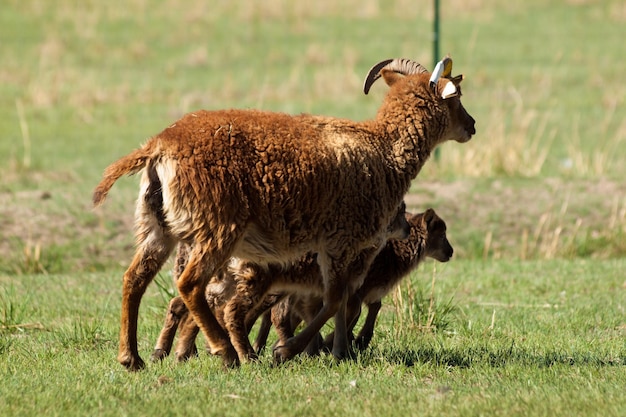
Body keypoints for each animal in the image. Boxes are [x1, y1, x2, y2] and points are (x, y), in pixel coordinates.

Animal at [91, 56, 472, 370]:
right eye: (455, 98)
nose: (472, 125)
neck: (383, 151)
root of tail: (158, 147)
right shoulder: (341, 242)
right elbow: (334, 301)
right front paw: (289, 351)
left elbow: (340, 302)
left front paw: (338, 351)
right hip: (217, 226)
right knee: (190, 285)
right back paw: (227, 353)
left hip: (158, 226)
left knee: (134, 279)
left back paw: (132, 358)